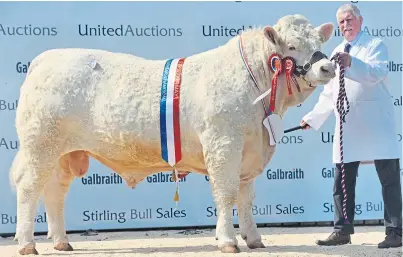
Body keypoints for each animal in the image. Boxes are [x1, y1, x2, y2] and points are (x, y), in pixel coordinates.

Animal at [11, 14, 336, 254]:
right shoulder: (223, 144)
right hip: (40, 145)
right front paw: (228, 241)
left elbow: (246, 197)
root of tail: (46, 58)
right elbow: (226, 193)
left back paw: (61, 242)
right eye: (291, 46)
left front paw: (254, 239)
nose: (327, 67)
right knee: (29, 188)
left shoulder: (249, 151)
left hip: (64, 153)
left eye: (320, 41)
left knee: (55, 192)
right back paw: (27, 244)